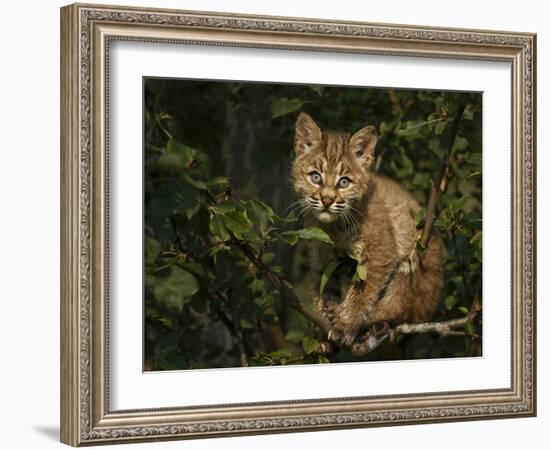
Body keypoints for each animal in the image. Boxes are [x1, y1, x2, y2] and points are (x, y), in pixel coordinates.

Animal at [294, 112, 444, 344]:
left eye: (344, 182)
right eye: (315, 177)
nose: (327, 200)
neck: (334, 225)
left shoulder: (381, 253)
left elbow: (362, 293)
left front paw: (346, 324)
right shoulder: (323, 256)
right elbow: (324, 288)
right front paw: (326, 324)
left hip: (415, 257)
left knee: (402, 308)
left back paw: (376, 321)